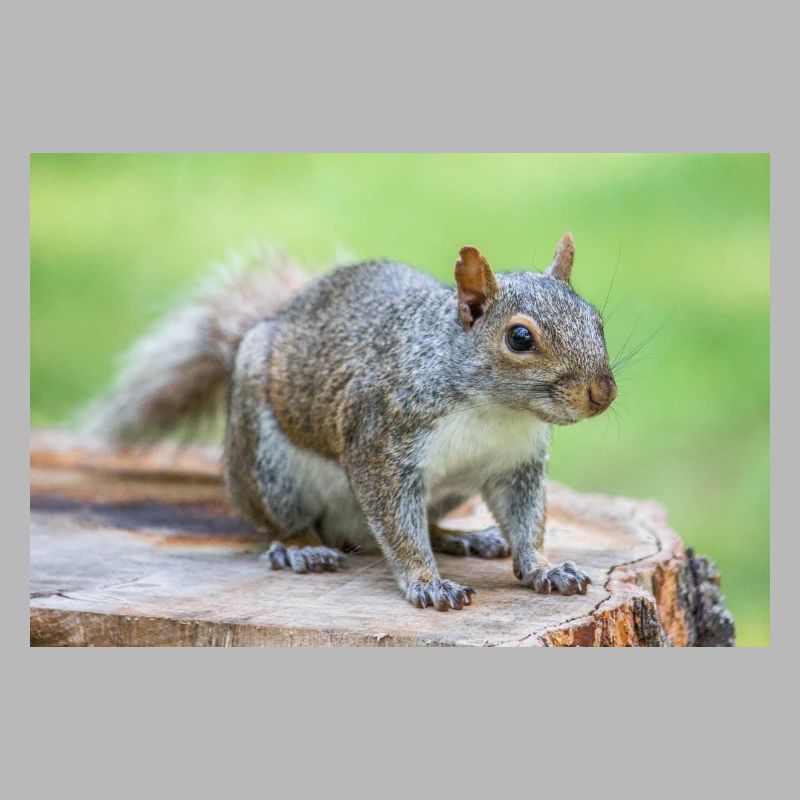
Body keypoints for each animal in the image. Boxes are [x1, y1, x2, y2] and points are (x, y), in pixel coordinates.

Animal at [90, 233, 617, 611]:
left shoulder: (516, 465)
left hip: (449, 491)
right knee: (284, 521)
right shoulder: (380, 444)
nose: (603, 394)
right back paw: (301, 548)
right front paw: (427, 583)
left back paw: (461, 537)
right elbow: (398, 527)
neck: (496, 411)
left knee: (419, 522)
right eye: (520, 338)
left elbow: (527, 521)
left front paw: (544, 568)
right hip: (267, 465)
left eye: (597, 320)